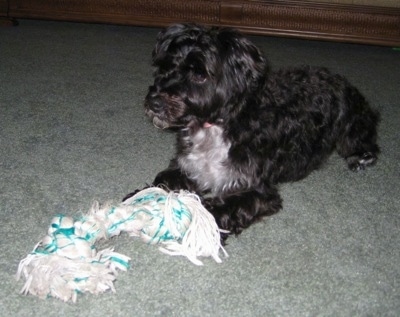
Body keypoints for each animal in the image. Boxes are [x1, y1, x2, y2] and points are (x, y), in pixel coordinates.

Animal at [126, 24, 380, 239]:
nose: (155, 102)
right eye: (166, 67)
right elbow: (162, 181)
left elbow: (220, 208)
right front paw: (140, 201)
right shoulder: (187, 167)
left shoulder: (257, 191)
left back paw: (362, 159)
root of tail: (341, 80)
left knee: (364, 140)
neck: (215, 126)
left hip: (350, 126)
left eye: (199, 74)